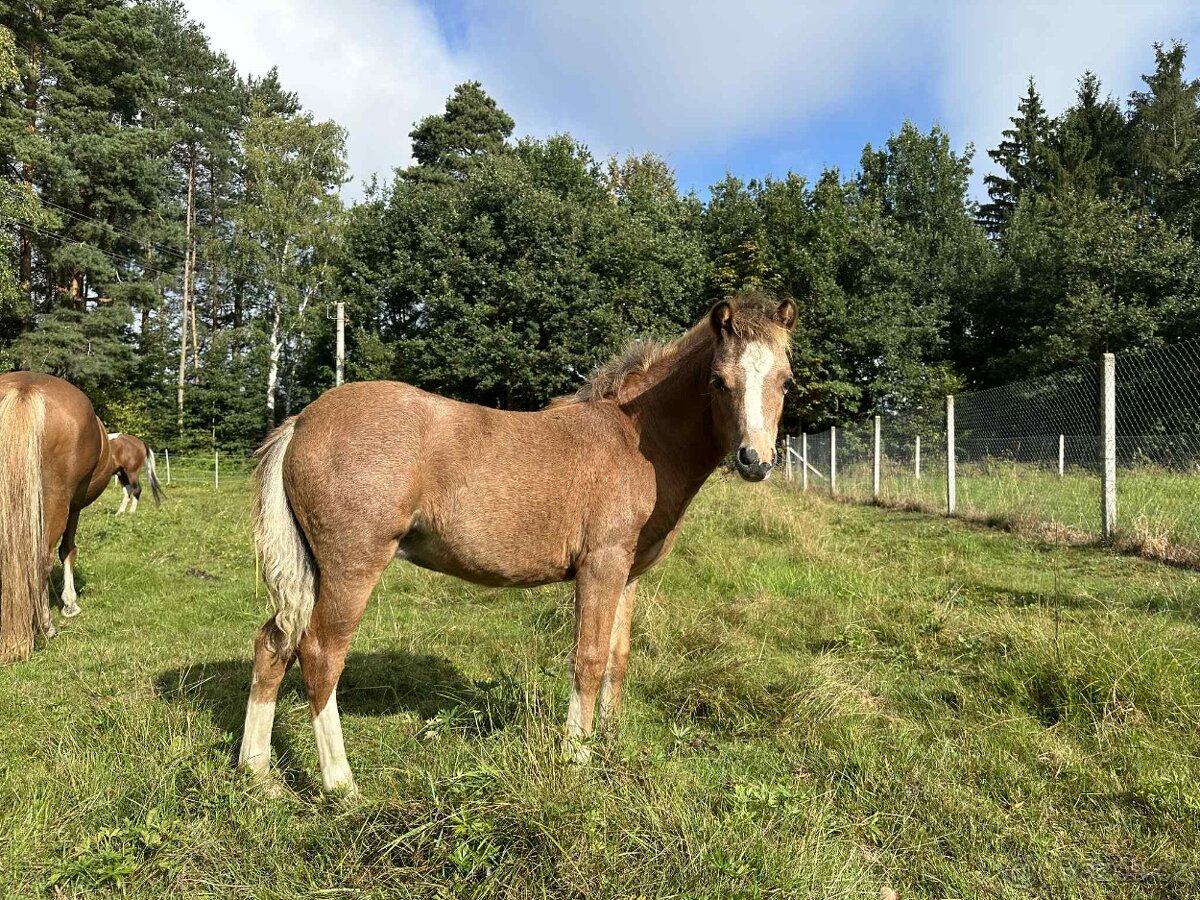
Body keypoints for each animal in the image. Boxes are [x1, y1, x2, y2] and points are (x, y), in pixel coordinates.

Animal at [0, 372, 112, 663]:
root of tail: (25, 387)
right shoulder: (75, 507)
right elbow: (68, 549)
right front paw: (69, 603)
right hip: (56, 500)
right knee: (42, 558)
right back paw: (46, 626)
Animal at [239, 292, 797, 793]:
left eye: (785, 380)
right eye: (719, 381)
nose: (756, 460)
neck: (636, 439)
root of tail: (302, 422)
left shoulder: (628, 574)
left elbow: (617, 657)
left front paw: (609, 742)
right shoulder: (601, 565)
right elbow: (589, 658)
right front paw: (576, 755)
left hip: (311, 570)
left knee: (274, 643)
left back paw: (258, 773)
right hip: (351, 566)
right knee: (320, 653)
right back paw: (341, 783)